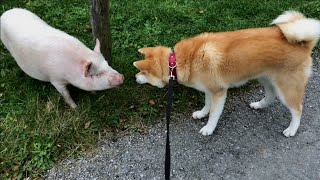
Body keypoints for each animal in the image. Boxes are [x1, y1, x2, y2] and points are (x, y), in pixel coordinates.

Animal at [133, 11, 320, 137]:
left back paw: (292, 129)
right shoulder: (209, 90)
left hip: (287, 88)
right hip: (266, 78)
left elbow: (214, 114)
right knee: (270, 96)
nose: (134, 78)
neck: (178, 61)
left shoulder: (219, 92)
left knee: (298, 109)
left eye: (142, 72)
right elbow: (207, 105)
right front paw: (202, 113)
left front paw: (209, 128)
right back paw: (259, 105)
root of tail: (304, 45)